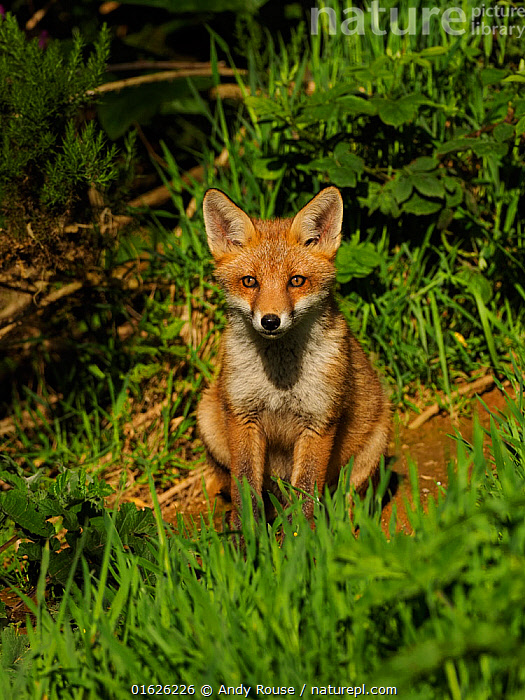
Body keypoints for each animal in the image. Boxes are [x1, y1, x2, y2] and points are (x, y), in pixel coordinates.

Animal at [197, 186, 390, 527]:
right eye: (250, 282)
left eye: (296, 281)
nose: (270, 321)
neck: (279, 382)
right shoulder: (242, 416)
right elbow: (245, 490)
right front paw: (246, 537)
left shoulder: (319, 421)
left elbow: (306, 495)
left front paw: (302, 539)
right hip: (209, 417)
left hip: (375, 442)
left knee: (346, 499)